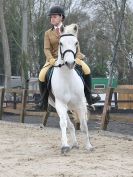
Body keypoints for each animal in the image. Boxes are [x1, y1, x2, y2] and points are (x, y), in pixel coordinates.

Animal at [48, 23, 92, 153]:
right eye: (60, 43)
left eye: (76, 43)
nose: (70, 63)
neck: (67, 78)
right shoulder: (60, 104)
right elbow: (63, 124)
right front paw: (65, 146)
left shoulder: (80, 103)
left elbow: (83, 125)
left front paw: (89, 146)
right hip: (59, 106)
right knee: (69, 124)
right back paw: (73, 144)